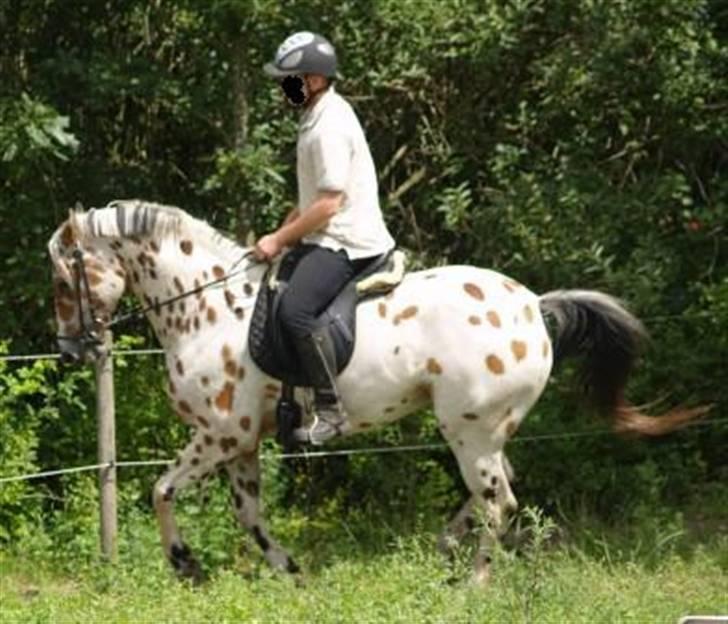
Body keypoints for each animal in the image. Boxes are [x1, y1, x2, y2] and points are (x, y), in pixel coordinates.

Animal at [47, 200, 704, 584]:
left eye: (59, 281)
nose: (70, 350)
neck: (206, 308)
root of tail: (535, 309)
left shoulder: (218, 435)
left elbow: (160, 490)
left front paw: (185, 565)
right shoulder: (241, 443)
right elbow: (248, 514)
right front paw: (289, 571)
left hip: (468, 431)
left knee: (499, 501)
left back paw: (471, 585)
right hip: (484, 430)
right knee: (496, 491)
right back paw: (444, 550)